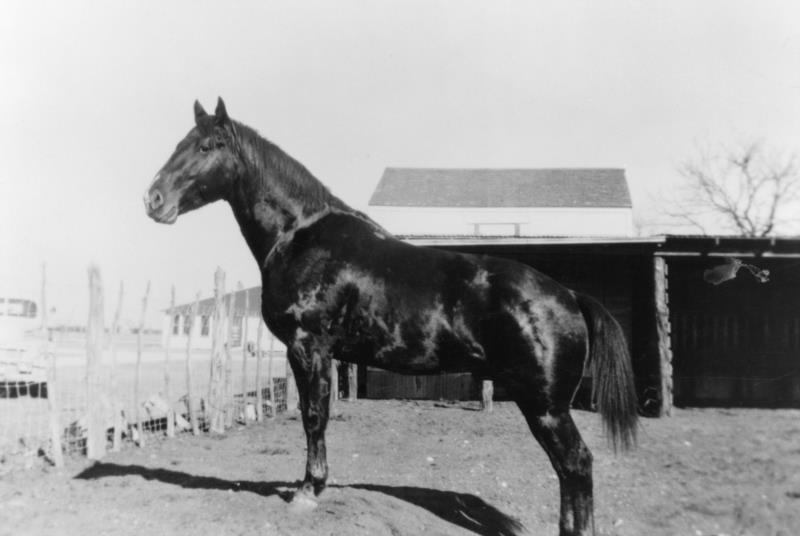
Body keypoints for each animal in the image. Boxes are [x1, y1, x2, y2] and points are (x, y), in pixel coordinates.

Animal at [144, 98, 638, 536]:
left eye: (207, 146)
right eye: (181, 142)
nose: (153, 199)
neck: (301, 236)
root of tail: (569, 295)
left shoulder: (308, 347)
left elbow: (313, 416)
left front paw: (308, 491)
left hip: (546, 407)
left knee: (576, 464)